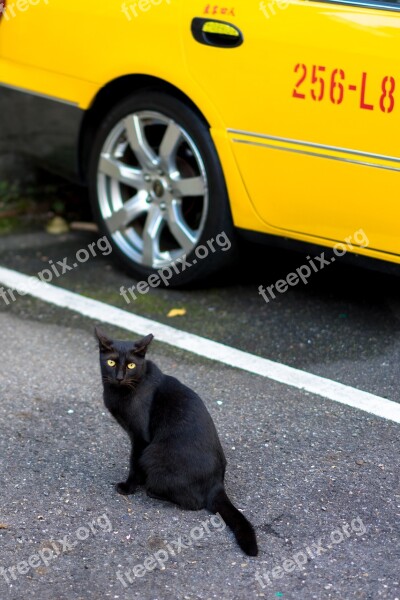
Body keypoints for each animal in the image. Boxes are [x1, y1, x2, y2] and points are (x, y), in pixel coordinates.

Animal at [95, 328, 258, 556]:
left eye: (131, 366)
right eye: (110, 362)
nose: (119, 377)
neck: (121, 392)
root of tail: (218, 484)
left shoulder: (140, 438)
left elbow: (134, 464)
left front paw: (129, 487)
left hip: (155, 455)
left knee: (194, 503)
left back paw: (153, 491)